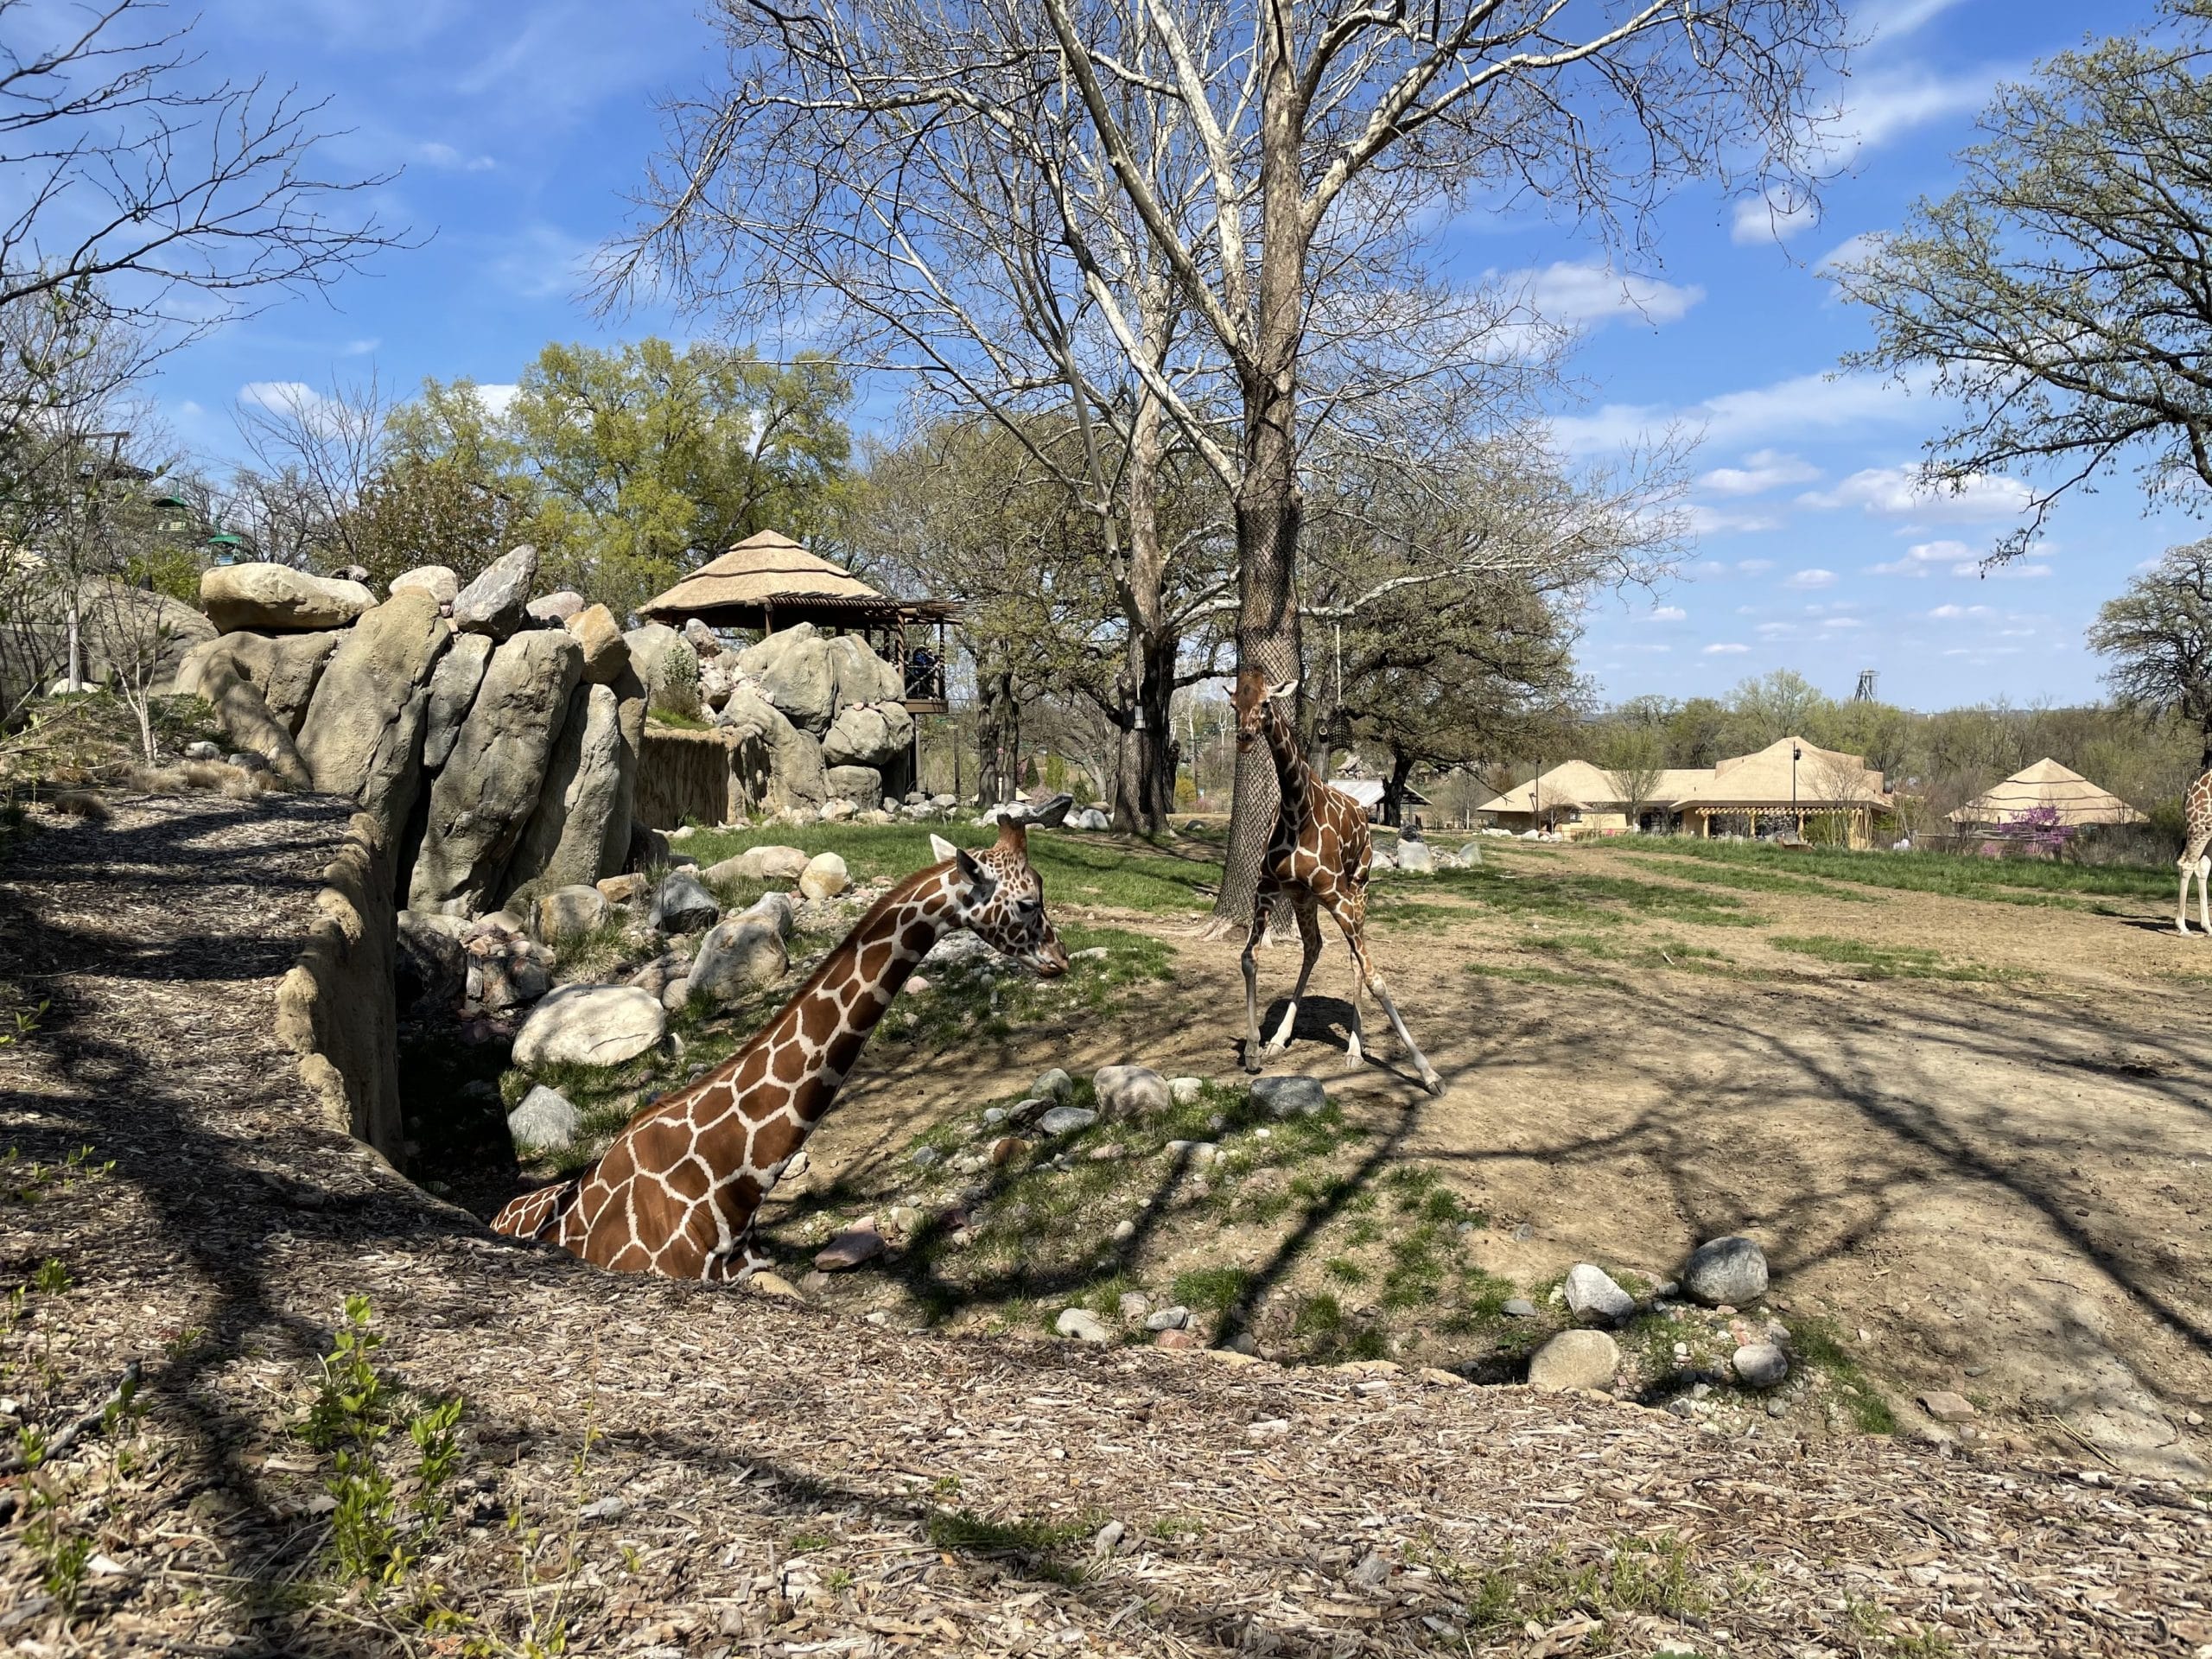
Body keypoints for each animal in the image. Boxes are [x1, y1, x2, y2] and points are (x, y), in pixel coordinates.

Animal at [1230, 668, 1451, 1096]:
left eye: (1265, 702)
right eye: (1234, 704)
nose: (1245, 736)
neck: (1296, 808)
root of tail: (1364, 815)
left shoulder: (1336, 894)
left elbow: (1376, 977)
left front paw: (1429, 1073)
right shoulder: (1268, 888)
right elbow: (1249, 958)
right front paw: (1253, 1050)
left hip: (1357, 888)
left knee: (1353, 959)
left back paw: (1354, 1049)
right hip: (1305, 898)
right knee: (1314, 947)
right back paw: (1279, 1040)